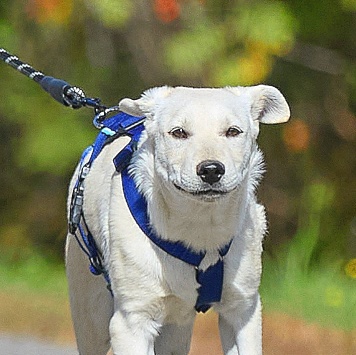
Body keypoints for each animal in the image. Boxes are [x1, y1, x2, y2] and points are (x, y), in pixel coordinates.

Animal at [65, 85, 290, 354]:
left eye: (233, 131)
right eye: (179, 132)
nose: (211, 170)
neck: (200, 224)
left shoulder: (243, 310)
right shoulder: (132, 321)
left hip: (176, 332)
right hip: (90, 312)